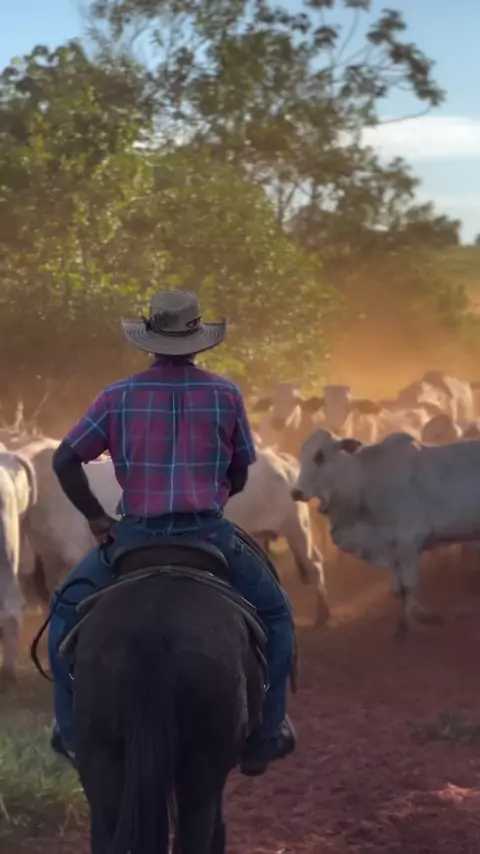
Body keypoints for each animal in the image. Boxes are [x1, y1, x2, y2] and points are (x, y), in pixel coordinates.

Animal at [291, 428, 480, 634]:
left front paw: (420, 617)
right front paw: (402, 626)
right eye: (301, 455)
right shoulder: (391, 550)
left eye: (319, 456)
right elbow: (397, 590)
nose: (296, 492)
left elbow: (408, 586)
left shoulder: (410, 542)